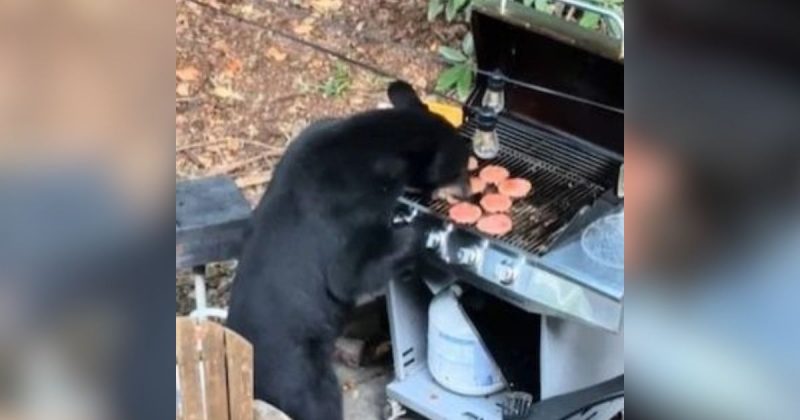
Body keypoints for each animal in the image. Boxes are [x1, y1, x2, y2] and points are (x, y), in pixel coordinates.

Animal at [226, 81, 470, 420]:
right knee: (319, 403)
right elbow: (350, 274)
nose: (470, 192)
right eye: (460, 168)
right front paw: (424, 232)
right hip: (300, 375)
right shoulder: (350, 209)